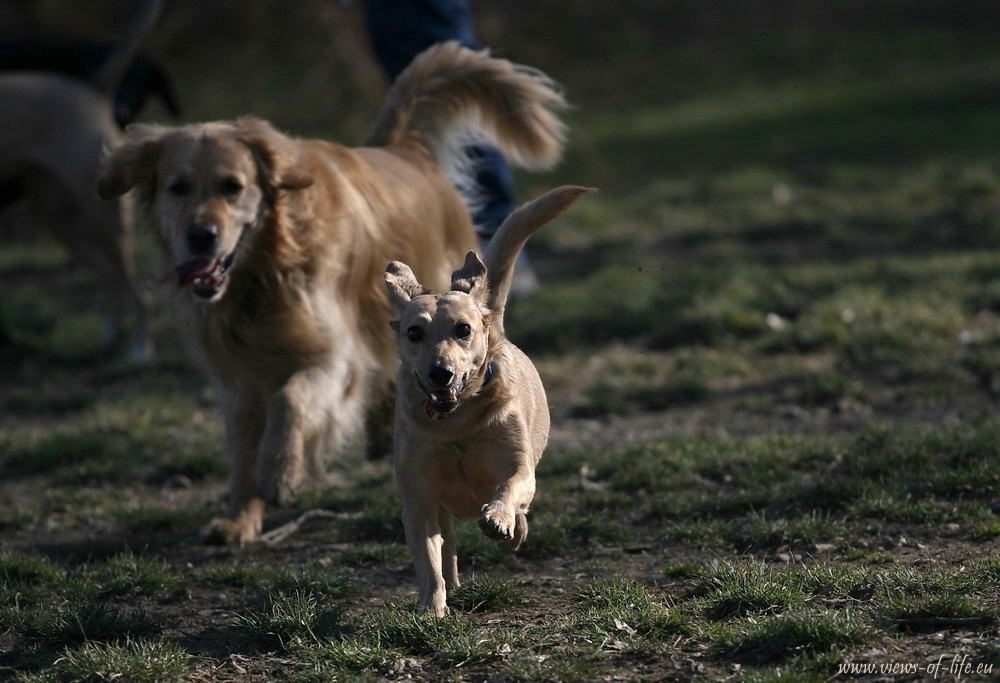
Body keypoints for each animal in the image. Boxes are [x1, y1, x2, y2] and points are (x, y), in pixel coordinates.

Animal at [380, 184, 584, 616]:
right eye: (414, 333)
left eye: (463, 329)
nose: (440, 373)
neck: (457, 422)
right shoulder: (419, 501)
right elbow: (429, 561)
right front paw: (432, 608)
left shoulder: (519, 466)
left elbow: (512, 488)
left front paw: (500, 520)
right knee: (449, 547)